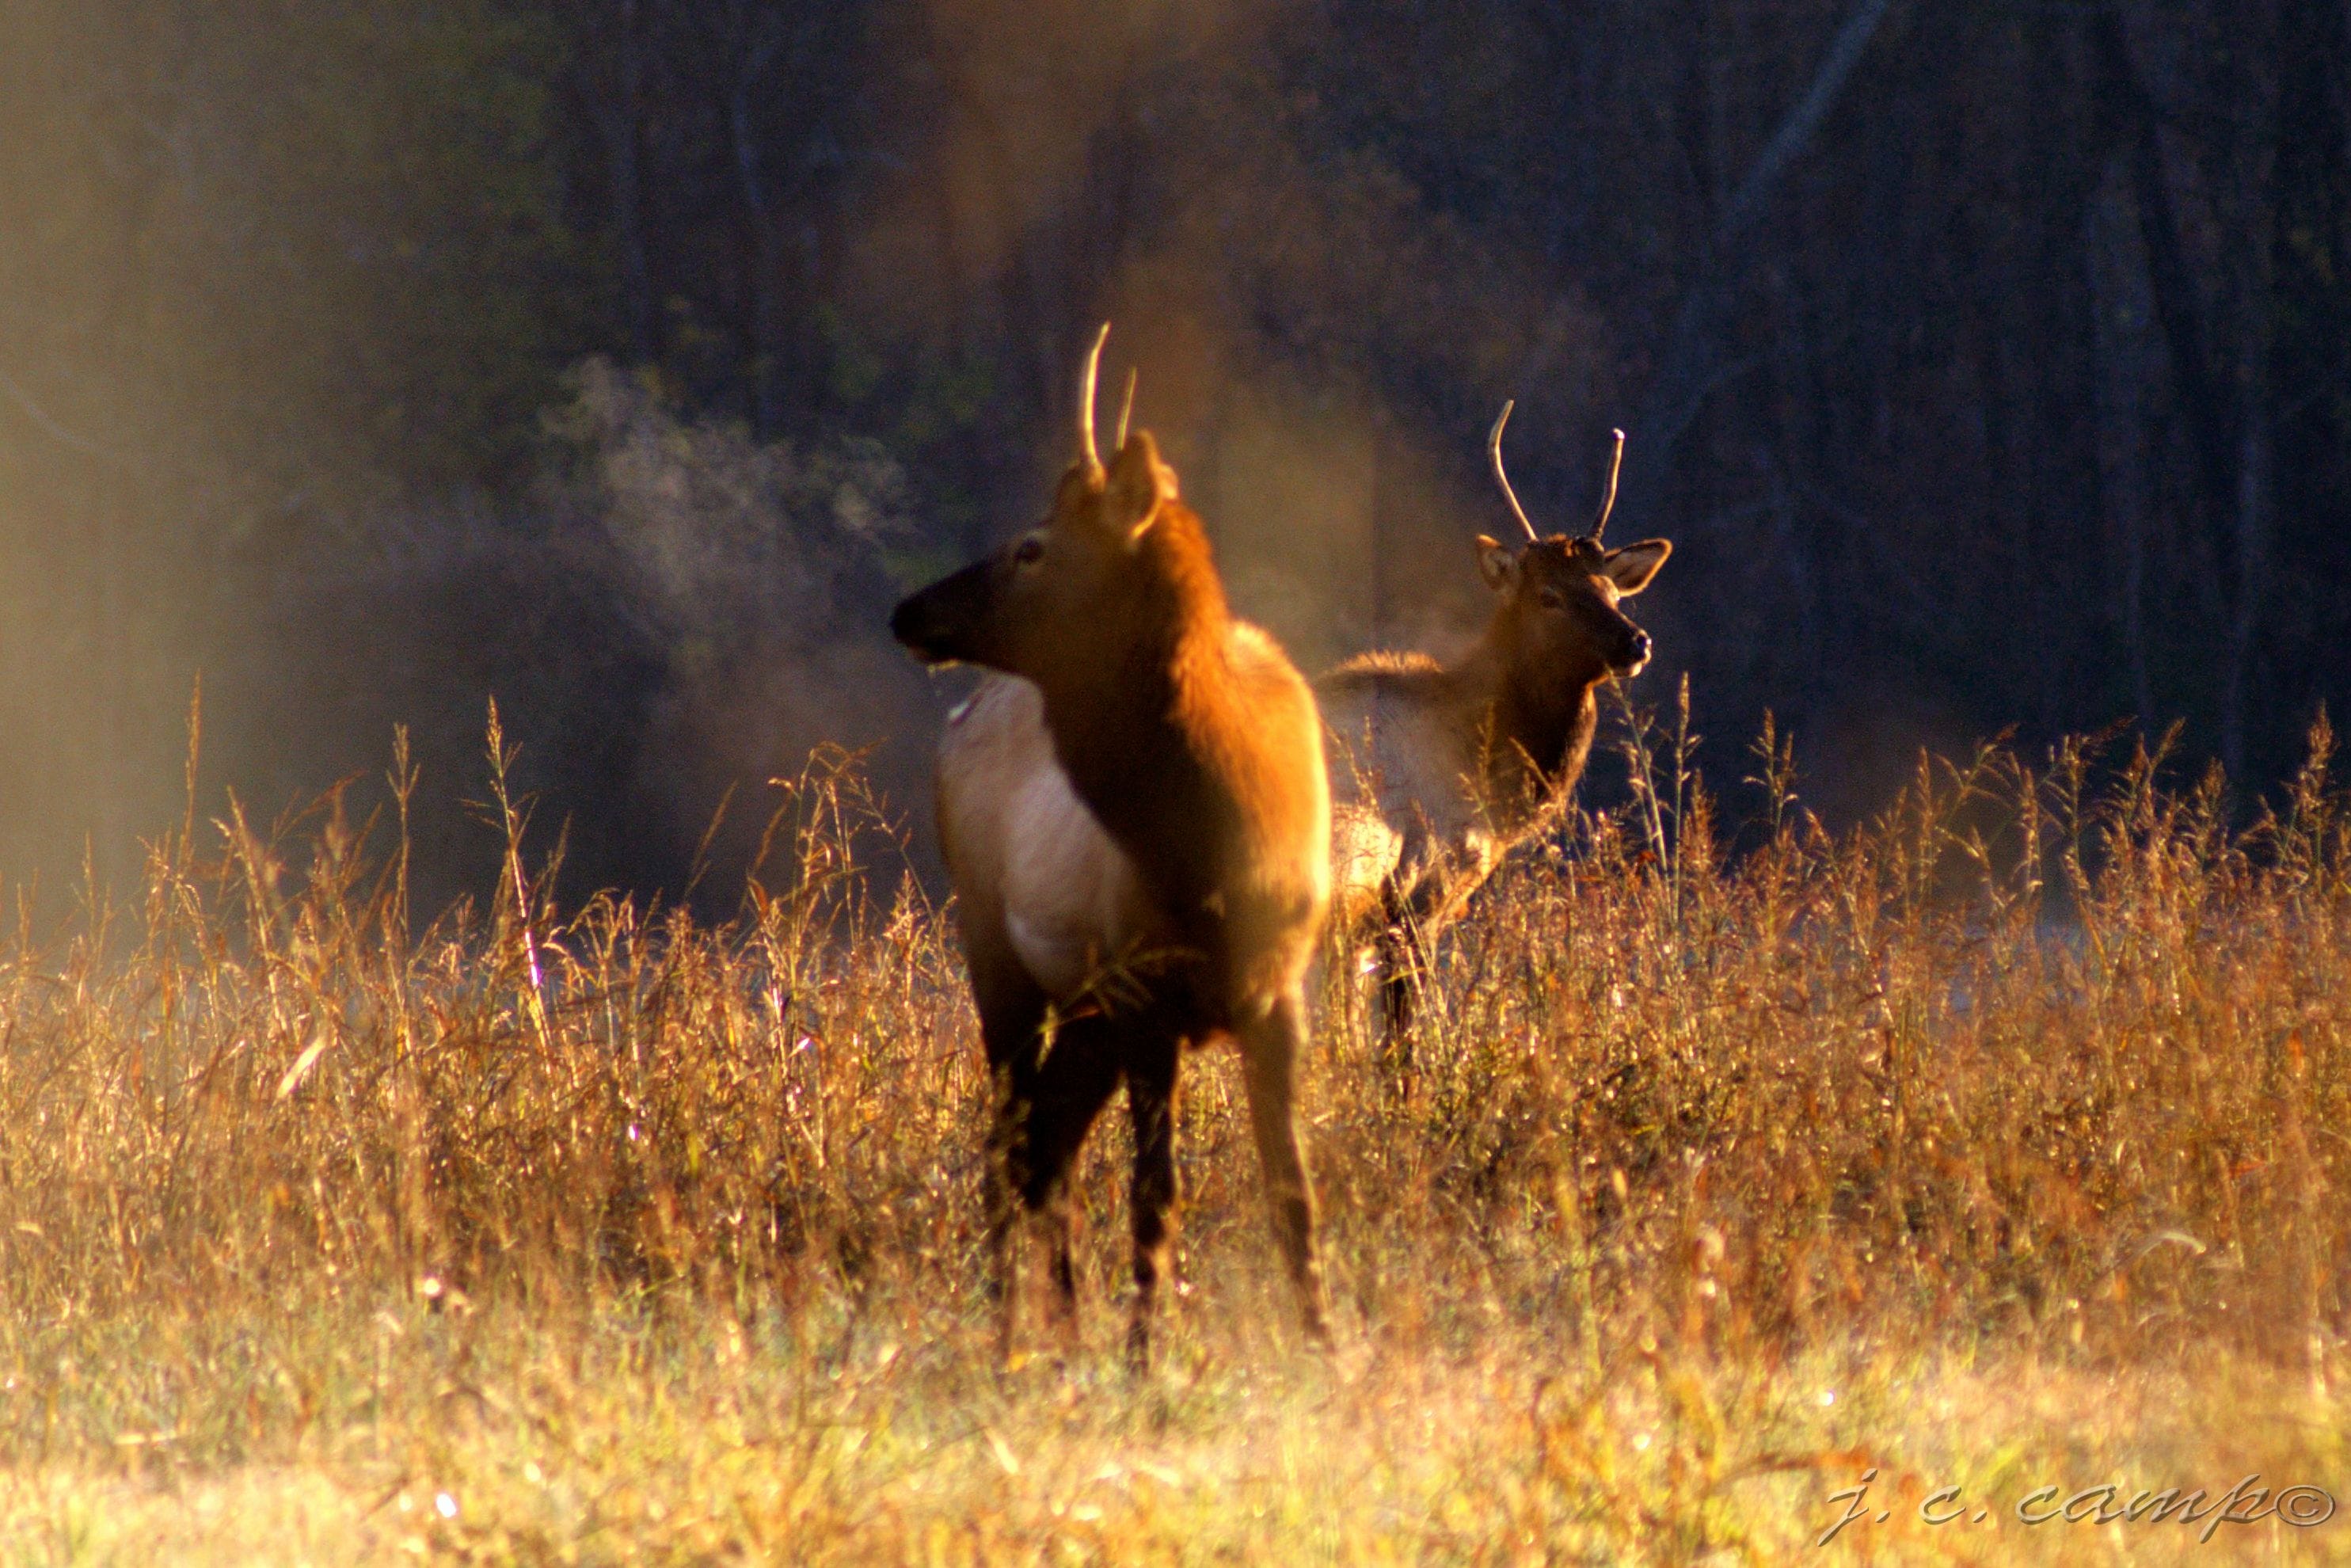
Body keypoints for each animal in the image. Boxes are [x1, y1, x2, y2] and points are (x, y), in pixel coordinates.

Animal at [888, 327, 1331, 1367]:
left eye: (1031, 546)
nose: (906, 612)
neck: (1217, 855)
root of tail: (961, 716)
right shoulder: (1144, 998)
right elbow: (1155, 1198)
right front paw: (1142, 1362)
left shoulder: (1275, 991)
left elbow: (1292, 1196)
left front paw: (1330, 1345)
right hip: (995, 953)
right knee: (1007, 1148)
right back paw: (1012, 1338)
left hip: (1078, 1005)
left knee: (1044, 1152)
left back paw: (1060, 1333)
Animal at [1320, 403, 1672, 1072]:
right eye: (1548, 595)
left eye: (1612, 590)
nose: (1636, 642)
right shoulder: (1411, 898)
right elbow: (1398, 1050)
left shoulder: (1354, 926)